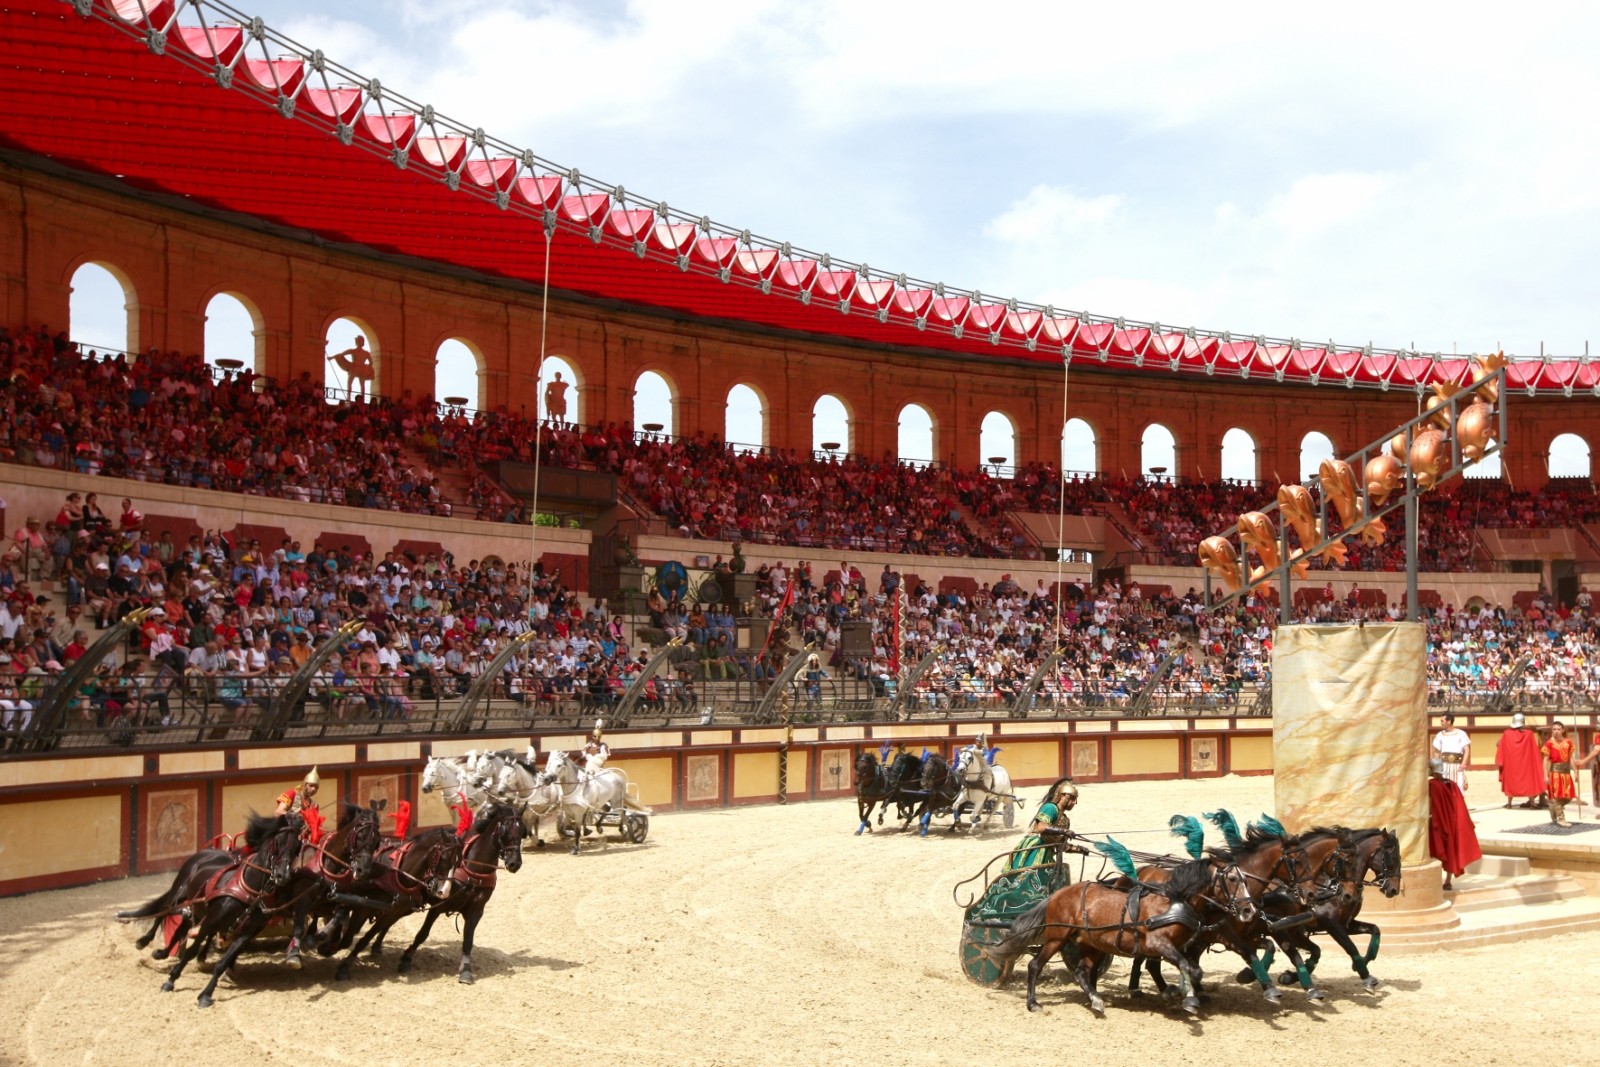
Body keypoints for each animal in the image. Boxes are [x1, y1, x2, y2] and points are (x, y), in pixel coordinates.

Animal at [1004, 857, 1254, 1017]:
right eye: (1232, 879)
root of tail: (1058, 893)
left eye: (1246, 879)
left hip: (1092, 944)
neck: (1173, 902)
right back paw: (1033, 1003)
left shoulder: (1177, 946)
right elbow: (1184, 966)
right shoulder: (1158, 943)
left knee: (1082, 971)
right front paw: (1187, 998)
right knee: (1035, 965)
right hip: (1057, 938)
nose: (1248, 910)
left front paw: (1177, 991)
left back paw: (1095, 999)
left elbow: (1192, 969)